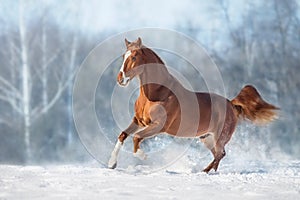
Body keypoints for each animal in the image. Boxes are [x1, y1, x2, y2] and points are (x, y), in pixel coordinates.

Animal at [106, 38, 278, 173]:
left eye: (134, 57)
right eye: (124, 56)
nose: (120, 79)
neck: (157, 94)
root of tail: (231, 104)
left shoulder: (159, 126)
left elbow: (136, 137)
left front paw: (143, 156)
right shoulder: (138, 121)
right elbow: (123, 135)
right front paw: (111, 164)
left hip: (220, 136)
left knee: (220, 153)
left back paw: (204, 171)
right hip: (206, 138)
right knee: (219, 154)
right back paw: (208, 171)